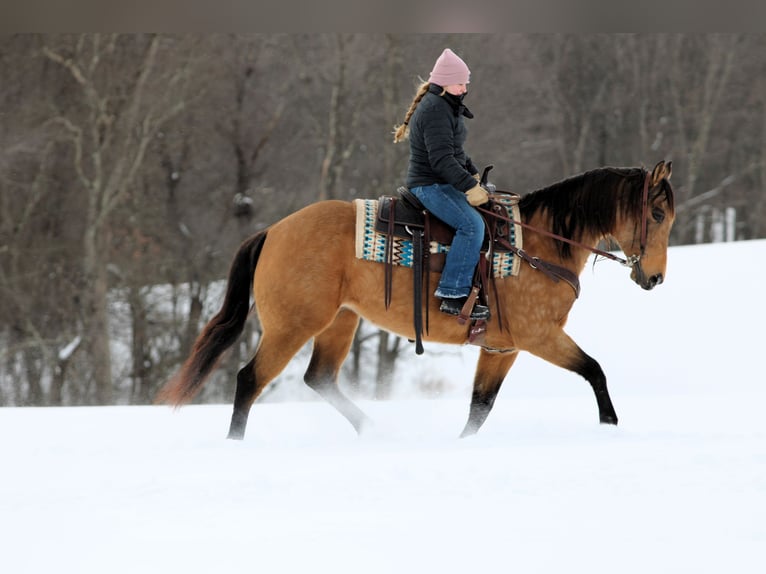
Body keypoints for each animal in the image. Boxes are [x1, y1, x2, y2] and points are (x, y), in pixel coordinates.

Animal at [157, 160, 675, 440]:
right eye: (656, 213)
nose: (654, 277)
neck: (540, 244)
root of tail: (273, 231)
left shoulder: (501, 347)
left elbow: (480, 406)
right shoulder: (539, 336)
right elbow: (595, 370)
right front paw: (610, 426)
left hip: (340, 323)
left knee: (319, 378)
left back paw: (373, 430)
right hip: (291, 326)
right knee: (249, 380)